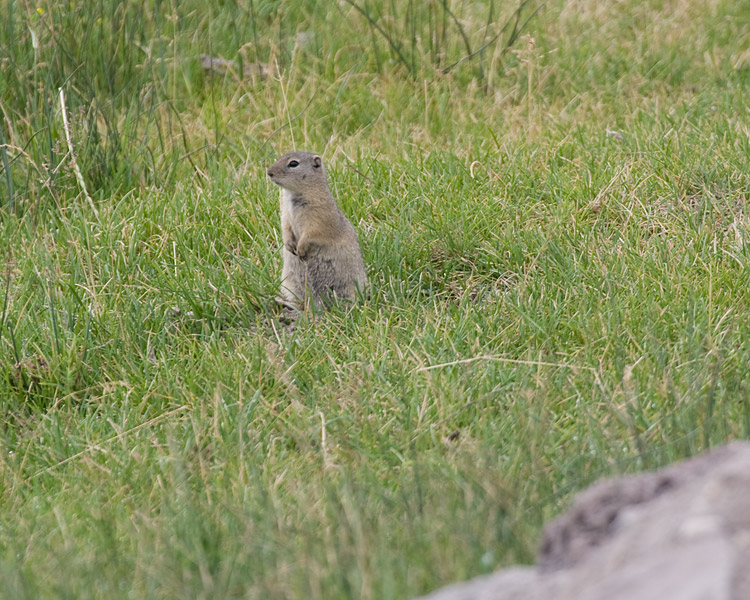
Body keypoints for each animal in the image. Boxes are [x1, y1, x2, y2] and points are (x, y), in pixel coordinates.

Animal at [268, 152, 368, 310]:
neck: (293, 194)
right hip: (291, 283)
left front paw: (300, 248)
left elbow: (312, 232)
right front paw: (289, 245)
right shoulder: (285, 213)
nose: (269, 172)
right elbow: (285, 227)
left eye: (293, 163)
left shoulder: (319, 215)